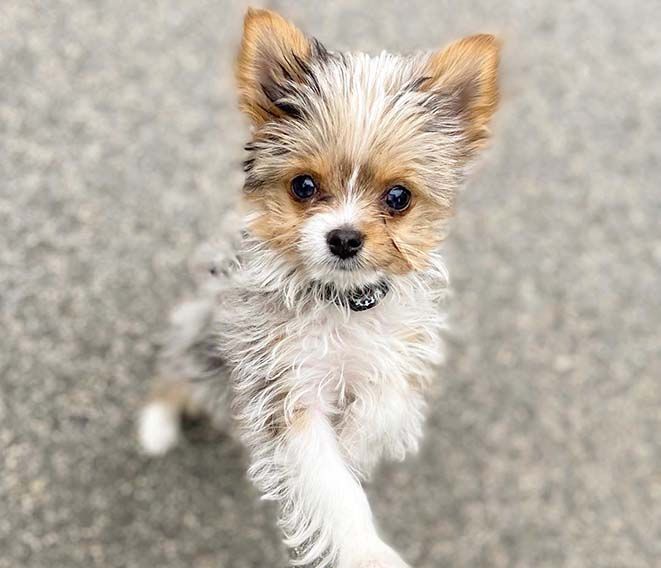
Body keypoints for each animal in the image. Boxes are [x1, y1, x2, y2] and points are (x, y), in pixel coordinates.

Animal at [141, 8, 500, 568]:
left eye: (399, 196)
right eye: (303, 186)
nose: (345, 238)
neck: (342, 304)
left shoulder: (398, 361)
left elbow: (382, 409)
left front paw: (356, 444)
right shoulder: (287, 393)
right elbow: (330, 485)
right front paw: (366, 551)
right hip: (198, 331)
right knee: (173, 371)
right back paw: (157, 424)